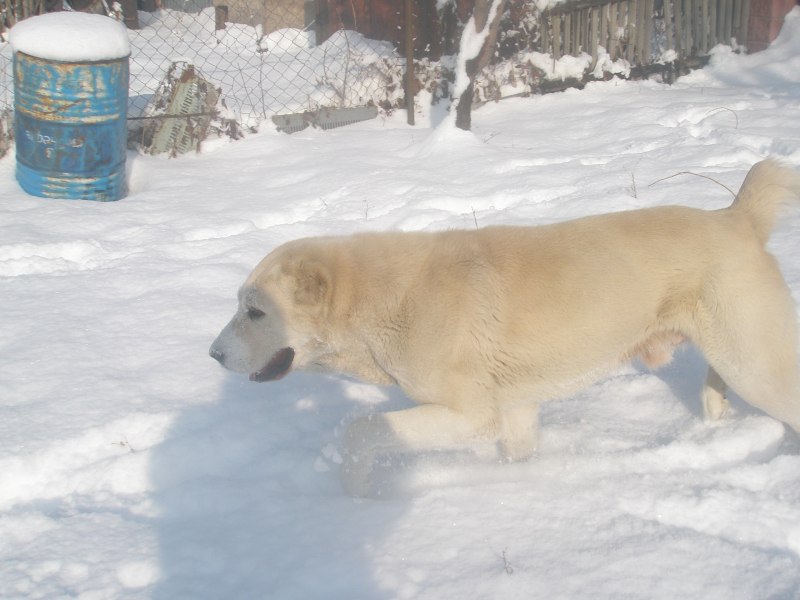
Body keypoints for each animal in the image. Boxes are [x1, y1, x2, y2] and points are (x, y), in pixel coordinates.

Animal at [209, 159, 800, 492]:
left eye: (254, 311)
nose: (212, 354)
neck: (385, 299)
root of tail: (736, 217)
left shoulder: (472, 415)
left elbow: (363, 430)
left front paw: (357, 498)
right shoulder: (515, 409)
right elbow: (518, 454)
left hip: (755, 365)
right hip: (733, 352)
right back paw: (716, 416)